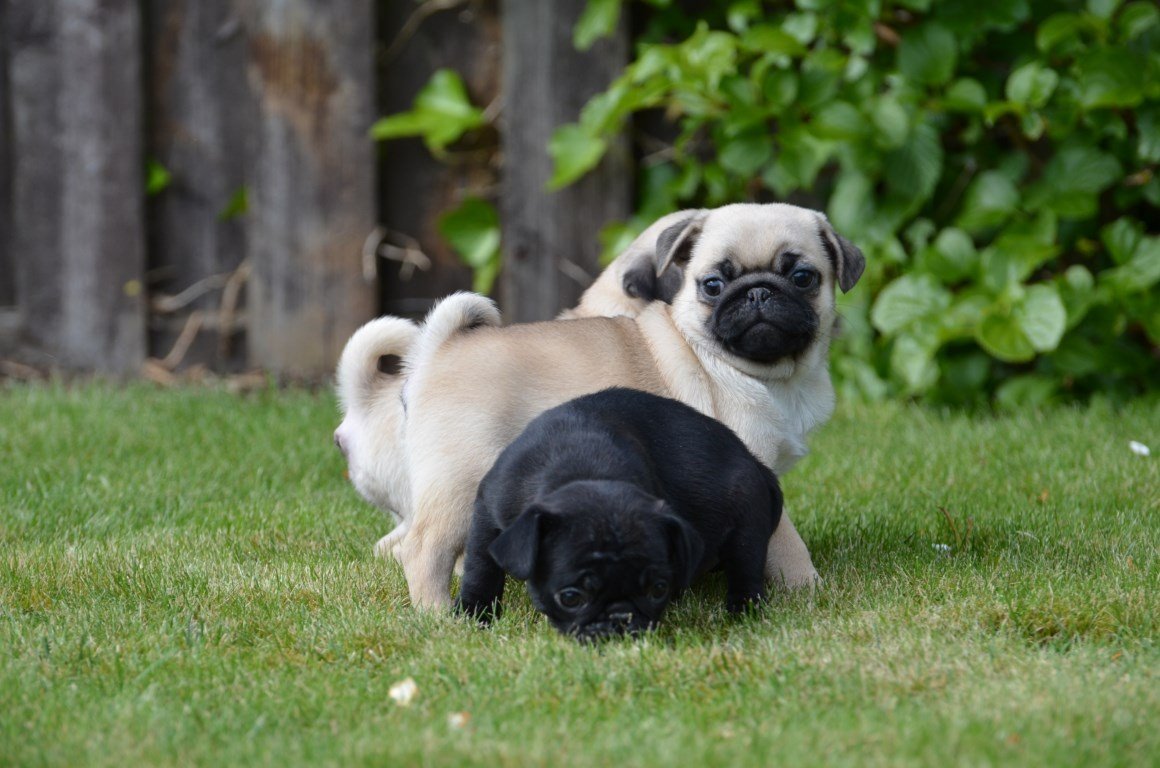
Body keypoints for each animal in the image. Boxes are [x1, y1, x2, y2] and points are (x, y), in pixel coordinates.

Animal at [399, 201, 863, 612]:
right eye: (713, 284)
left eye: (802, 277)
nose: (759, 291)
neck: (767, 375)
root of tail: (441, 347)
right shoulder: (752, 472)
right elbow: (786, 543)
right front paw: (809, 589)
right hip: (460, 482)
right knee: (421, 549)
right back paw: (436, 614)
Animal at [457, 387, 784, 640]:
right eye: (571, 598)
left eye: (658, 590)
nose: (620, 617)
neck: (584, 471)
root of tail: (755, 462)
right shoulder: (487, 511)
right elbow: (480, 566)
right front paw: (473, 613)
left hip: (747, 524)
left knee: (746, 569)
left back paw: (743, 611)